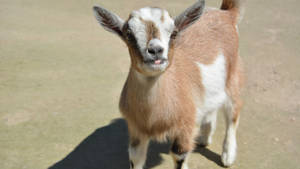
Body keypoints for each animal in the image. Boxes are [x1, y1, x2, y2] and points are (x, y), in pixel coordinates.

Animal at [93, 0, 244, 168]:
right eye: (129, 35)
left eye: (174, 33)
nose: (155, 50)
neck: (153, 118)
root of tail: (226, 13)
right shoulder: (136, 129)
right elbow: (135, 157)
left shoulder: (184, 127)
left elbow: (179, 155)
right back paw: (204, 138)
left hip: (233, 77)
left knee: (233, 112)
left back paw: (227, 156)